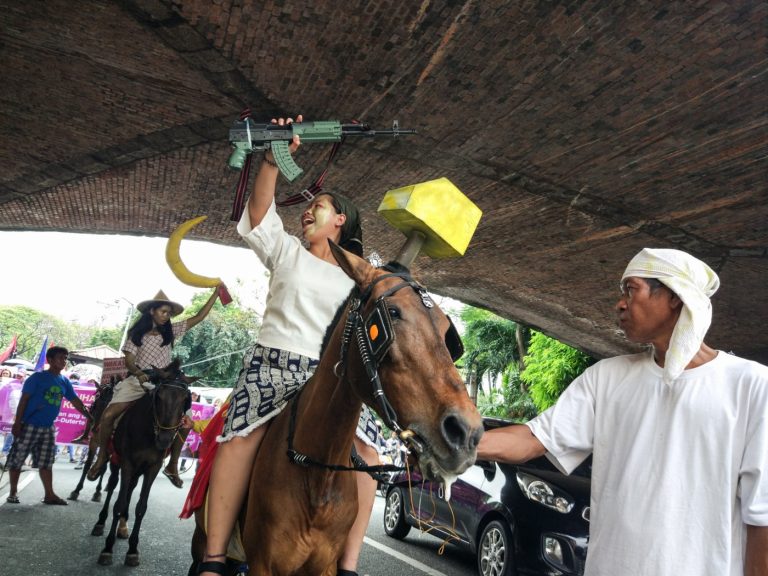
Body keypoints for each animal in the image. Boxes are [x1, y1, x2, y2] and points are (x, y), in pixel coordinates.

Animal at [92, 360, 192, 568]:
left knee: (130, 488)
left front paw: (132, 550)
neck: (148, 430)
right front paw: (107, 548)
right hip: (116, 458)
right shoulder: (127, 463)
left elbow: (141, 507)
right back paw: (100, 522)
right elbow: (119, 502)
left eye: (184, 400)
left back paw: (123, 526)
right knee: (113, 486)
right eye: (159, 397)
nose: (165, 439)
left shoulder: (152, 468)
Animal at [192, 243, 480, 576]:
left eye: (447, 330)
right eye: (392, 313)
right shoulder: (263, 564)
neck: (318, 477)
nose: (467, 432)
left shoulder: (325, 565)